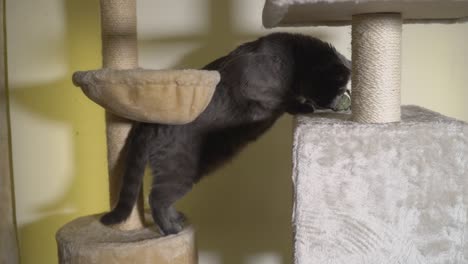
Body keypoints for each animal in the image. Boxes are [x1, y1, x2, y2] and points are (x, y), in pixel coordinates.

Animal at [102, 32, 352, 235]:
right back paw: (171, 230)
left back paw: (178, 220)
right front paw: (304, 105)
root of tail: (146, 124)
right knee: (157, 198)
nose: (336, 102)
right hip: (180, 169)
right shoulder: (258, 92)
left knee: (164, 198)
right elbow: (283, 99)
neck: (294, 61)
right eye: (338, 87)